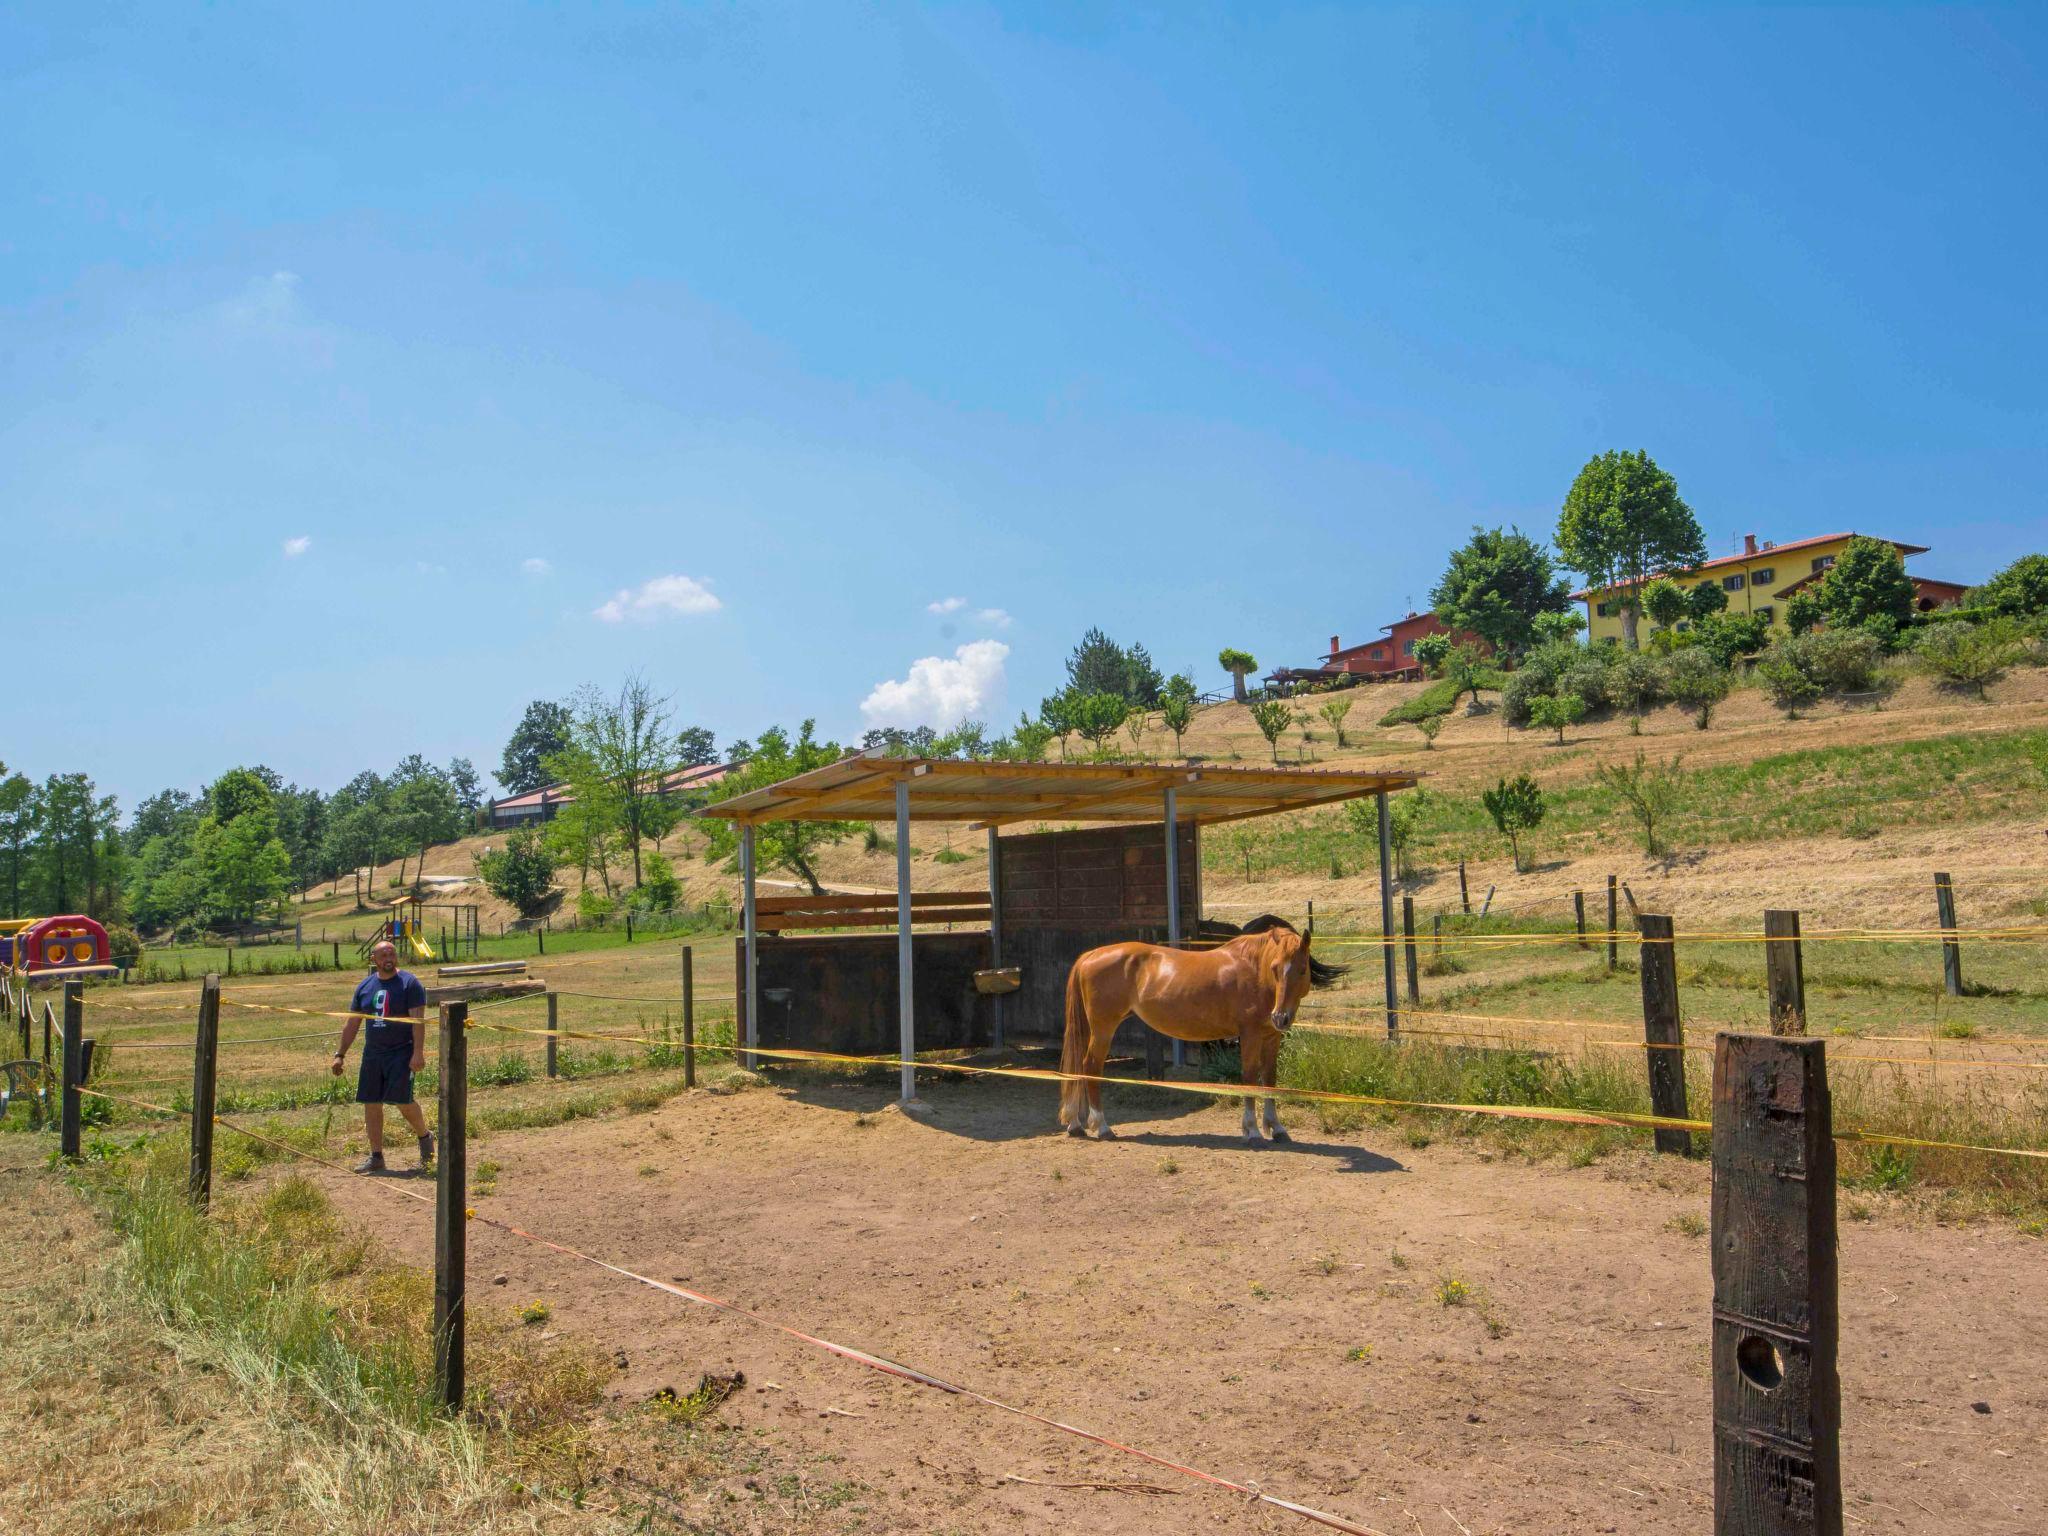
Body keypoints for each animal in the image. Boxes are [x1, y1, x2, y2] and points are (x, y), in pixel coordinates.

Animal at [1064, 913, 1335, 1146]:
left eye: (1302, 969)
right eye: (1275, 968)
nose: (1280, 1017)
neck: (1254, 971)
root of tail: (1091, 955)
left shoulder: (1271, 1036)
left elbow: (1269, 1079)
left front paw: (1276, 1128)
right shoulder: (1250, 1035)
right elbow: (1249, 1077)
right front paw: (1252, 1131)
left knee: (1078, 1067)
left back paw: (1076, 1124)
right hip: (1103, 1029)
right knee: (1091, 1067)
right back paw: (1102, 1127)